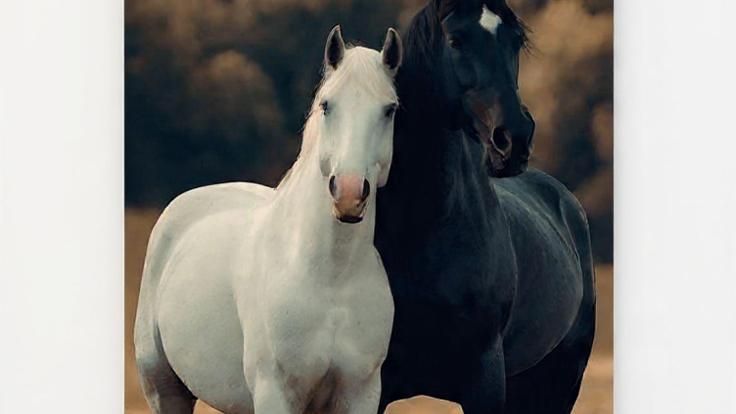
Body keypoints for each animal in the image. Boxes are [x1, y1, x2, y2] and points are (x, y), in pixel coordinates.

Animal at [134, 26, 404, 414]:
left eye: (389, 109)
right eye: (327, 105)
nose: (349, 194)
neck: (330, 278)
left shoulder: (360, 394)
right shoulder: (274, 391)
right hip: (162, 387)